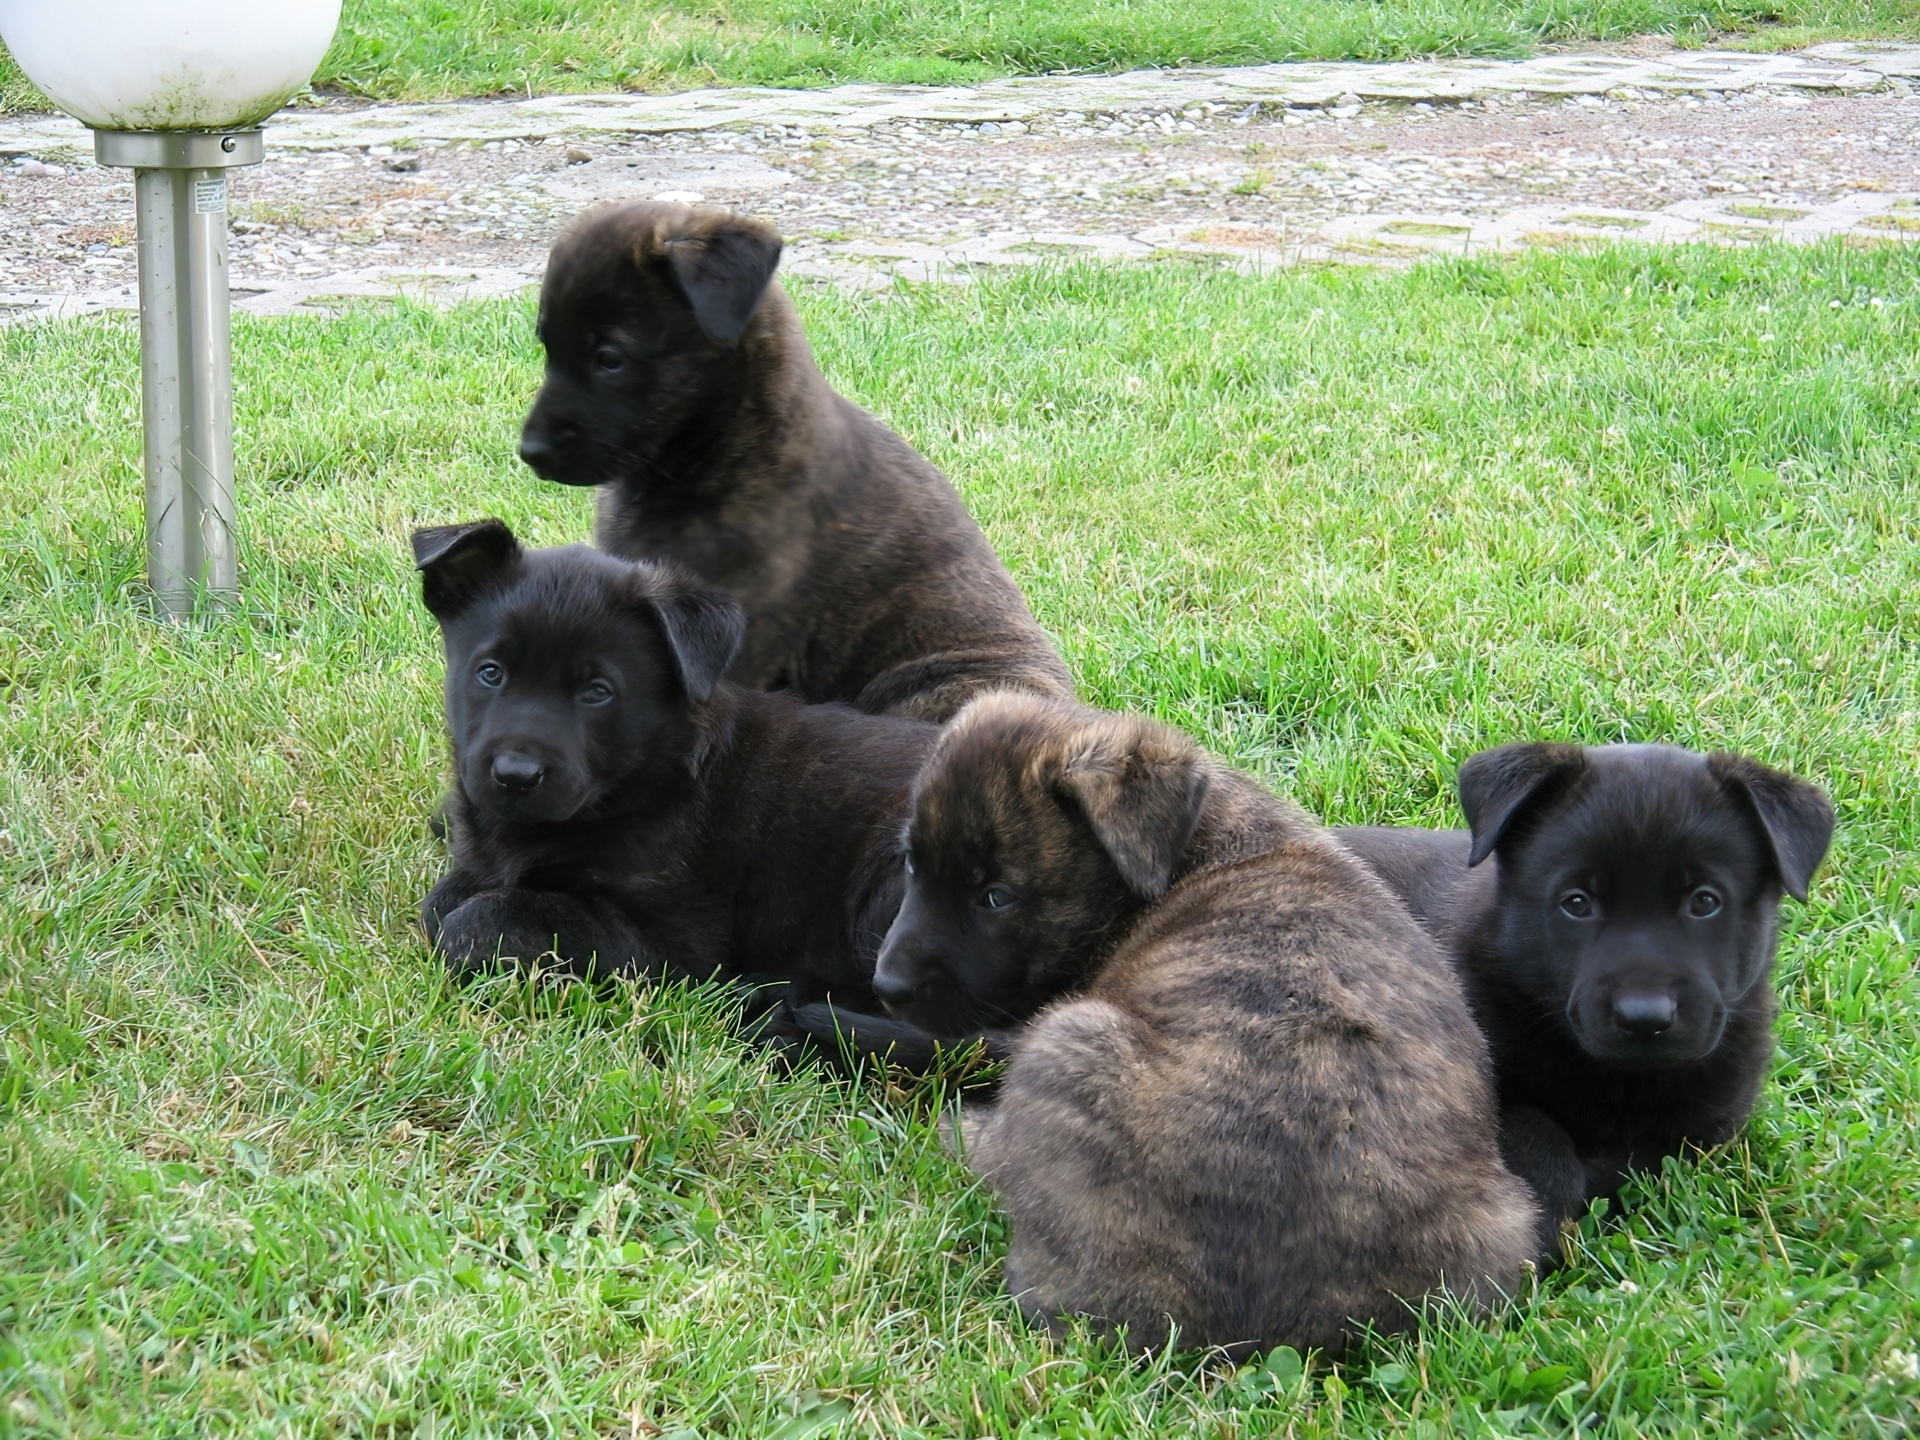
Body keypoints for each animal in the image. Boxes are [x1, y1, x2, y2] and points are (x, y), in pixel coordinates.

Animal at [414, 514, 967, 1059]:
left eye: (597, 692)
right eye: (490, 673)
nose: (515, 775)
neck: (642, 780)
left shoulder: (667, 940)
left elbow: (480, 919)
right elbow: (443, 899)